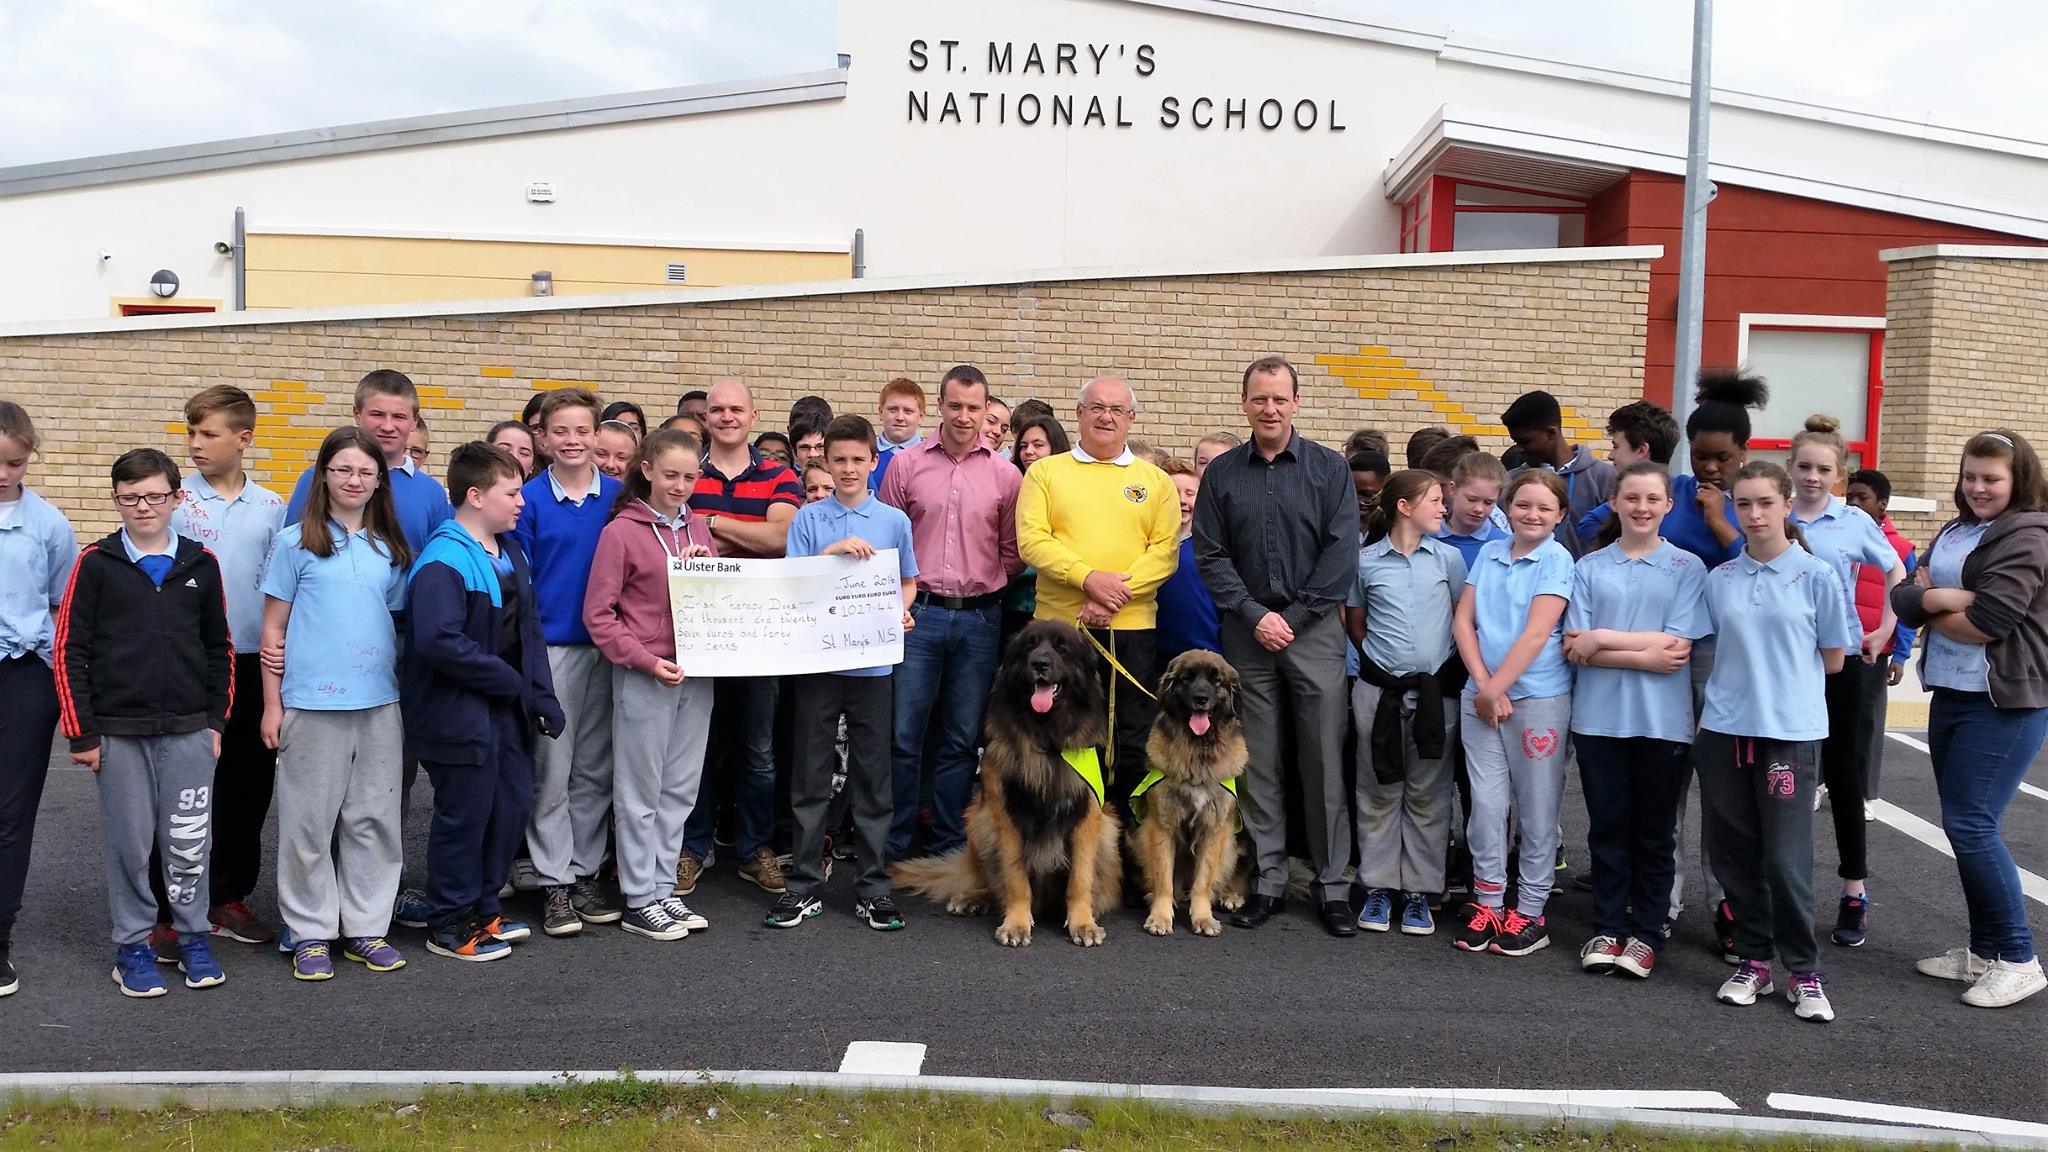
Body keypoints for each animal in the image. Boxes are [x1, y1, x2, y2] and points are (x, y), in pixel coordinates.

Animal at [892, 619, 1122, 942]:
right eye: (1030, 646)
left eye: (1061, 647)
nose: (1040, 663)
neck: (1045, 738)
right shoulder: (1006, 815)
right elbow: (1015, 879)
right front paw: (1016, 923)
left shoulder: (1087, 817)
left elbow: (1080, 879)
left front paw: (1082, 923)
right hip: (979, 819)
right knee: (994, 882)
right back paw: (975, 898)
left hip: (1109, 829)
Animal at [1138, 647, 1245, 934]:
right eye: (1186, 678)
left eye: (1216, 680)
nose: (1200, 699)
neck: (1197, 751)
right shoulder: (1162, 825)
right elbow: (1164, 877)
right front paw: (1160, 916)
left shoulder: (1214, 828)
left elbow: (1203, 880)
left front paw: (1203, 917)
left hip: (1229, 842)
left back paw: (1229, 895)